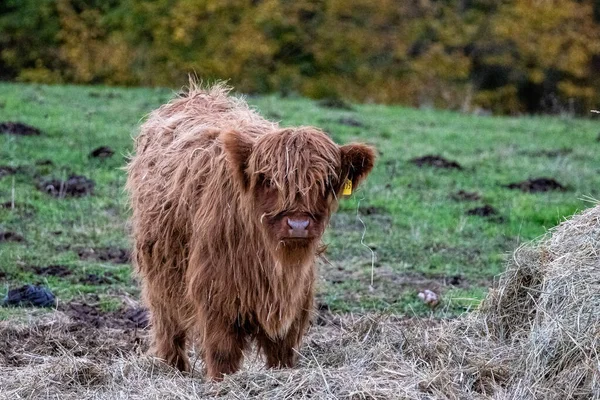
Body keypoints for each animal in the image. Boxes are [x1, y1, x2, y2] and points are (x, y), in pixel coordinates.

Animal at [126, 82, 376, 382]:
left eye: (326, 182)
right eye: (267, 179)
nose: (298, 224)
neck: (275, 265)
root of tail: (197, 94)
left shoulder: (295, 304)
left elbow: (282, 353)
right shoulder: (216, 297)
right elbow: (222, 356)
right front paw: (221, 385)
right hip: (159, 270)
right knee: (167, 323)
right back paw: (172, 367)